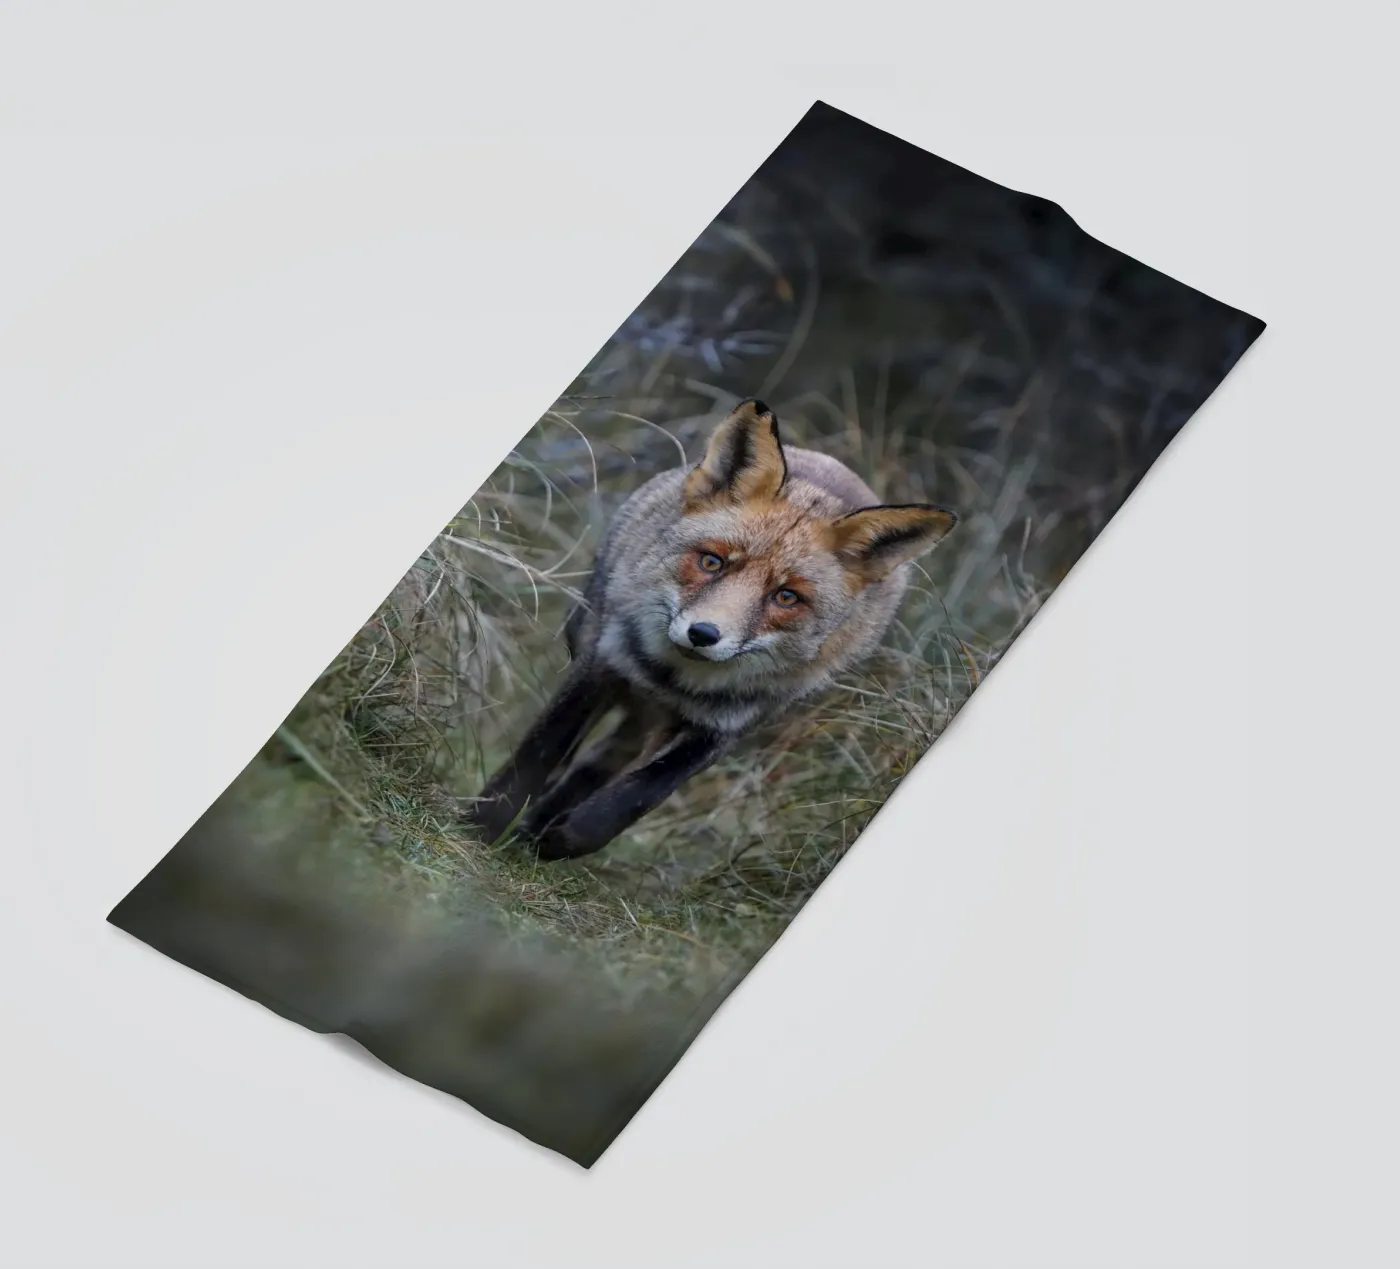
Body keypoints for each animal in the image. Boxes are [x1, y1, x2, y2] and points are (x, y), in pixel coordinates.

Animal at [468, 398, 958, 860]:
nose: (703, 634)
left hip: (655, 724)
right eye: (711, 561)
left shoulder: (724, 728)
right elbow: (536, 757)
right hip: (594, 644)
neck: (672, 680)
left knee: (601, 763)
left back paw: (541, 826)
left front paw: (564, 837)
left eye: (786, 597)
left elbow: (638, 797)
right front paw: (478, 828)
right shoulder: (601, 666)